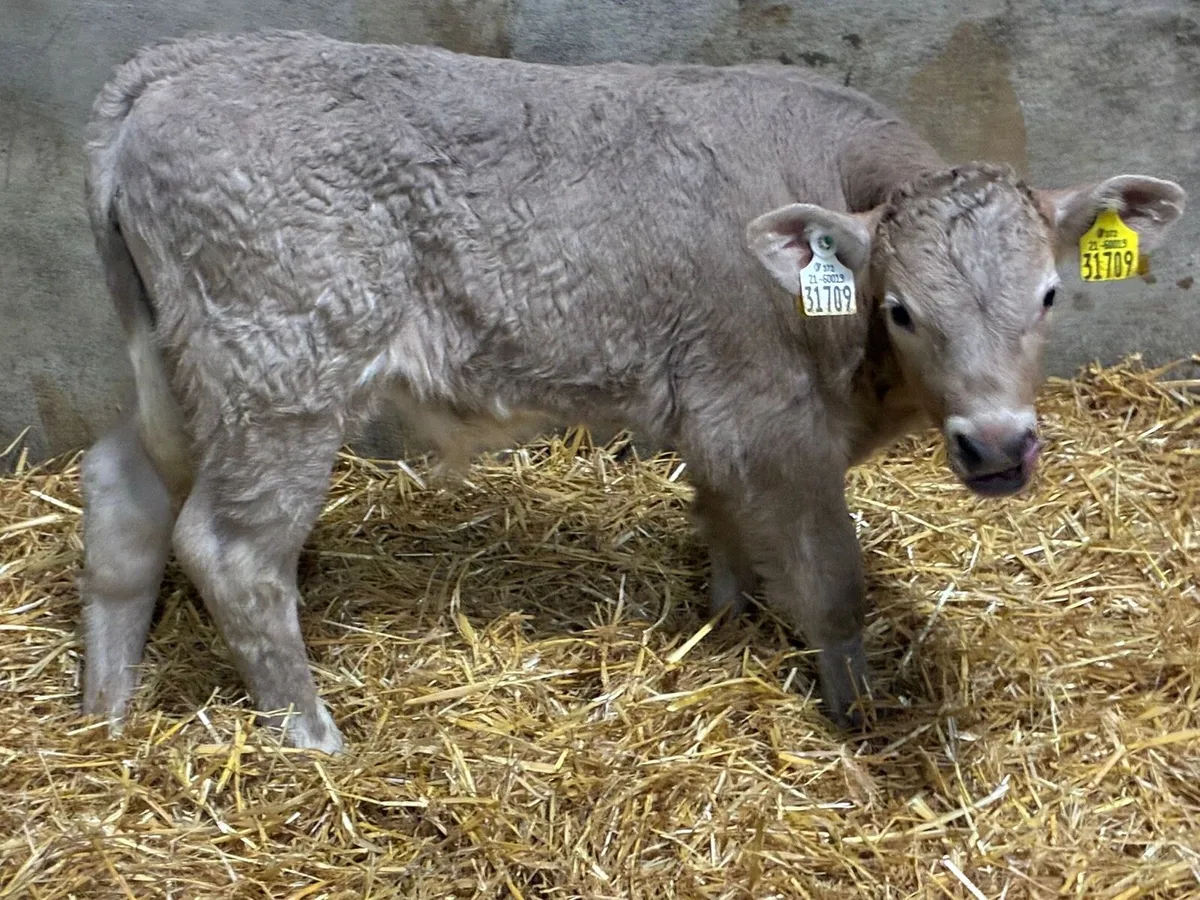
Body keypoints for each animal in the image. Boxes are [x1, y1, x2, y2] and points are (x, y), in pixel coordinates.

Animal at [78, 31, 1185, 753]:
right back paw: (312, 738)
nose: (998, 445)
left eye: (1050, 294)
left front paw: (729, 623)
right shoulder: (768, 419)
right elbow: (831, 582)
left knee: (123, 488)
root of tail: (172, 67)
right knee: (232, 550)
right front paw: (857, 713)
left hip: (185, 370)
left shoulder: (722, 421)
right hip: (283, 371)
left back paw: (108, 705)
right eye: (902, 308)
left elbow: (727, 530)